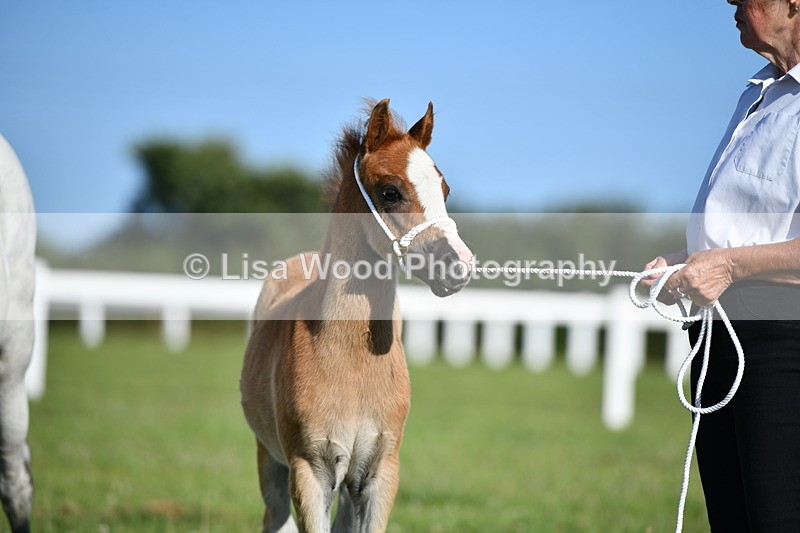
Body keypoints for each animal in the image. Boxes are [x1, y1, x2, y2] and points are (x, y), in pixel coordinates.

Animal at [240, 99, 473, 533]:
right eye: (390, 191)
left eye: (444, 189)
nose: (460, 266)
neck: (350, 360)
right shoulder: (310, 472)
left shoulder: (379, 473)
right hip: (270, 459)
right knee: (276, 517)